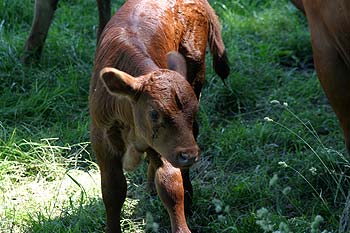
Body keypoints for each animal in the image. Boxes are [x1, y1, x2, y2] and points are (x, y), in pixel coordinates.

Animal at [89, 0, 228, 231]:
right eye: (154, 113)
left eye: (193, 112)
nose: (190, 155)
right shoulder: (102, 140)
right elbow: (112, 190)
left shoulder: (168, 144)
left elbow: (171, 186)